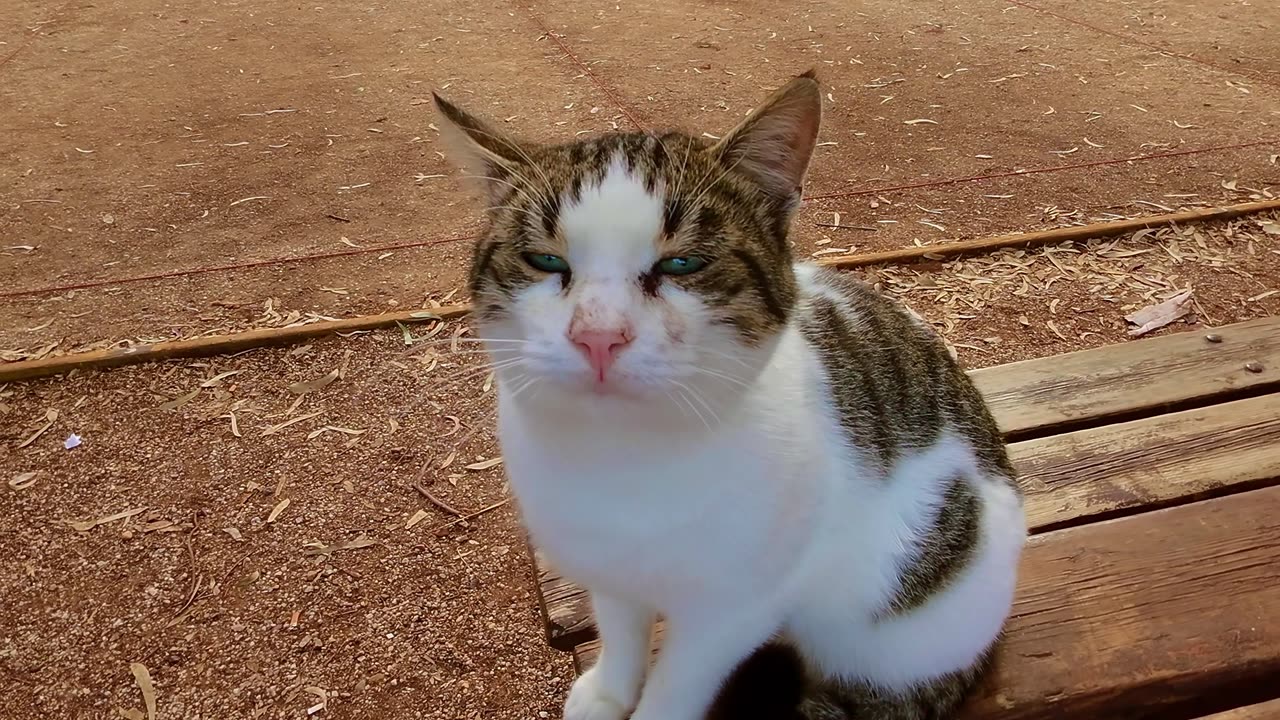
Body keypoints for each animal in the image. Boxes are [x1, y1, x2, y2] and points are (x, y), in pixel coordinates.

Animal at [435, 68, 1024, 717]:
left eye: (682, 264)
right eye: (544, 259)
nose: (598, 337)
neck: (622, 458)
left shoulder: (735, 609)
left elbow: (679, 683)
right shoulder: (609, 569)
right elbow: (620, 629)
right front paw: (610, 690)